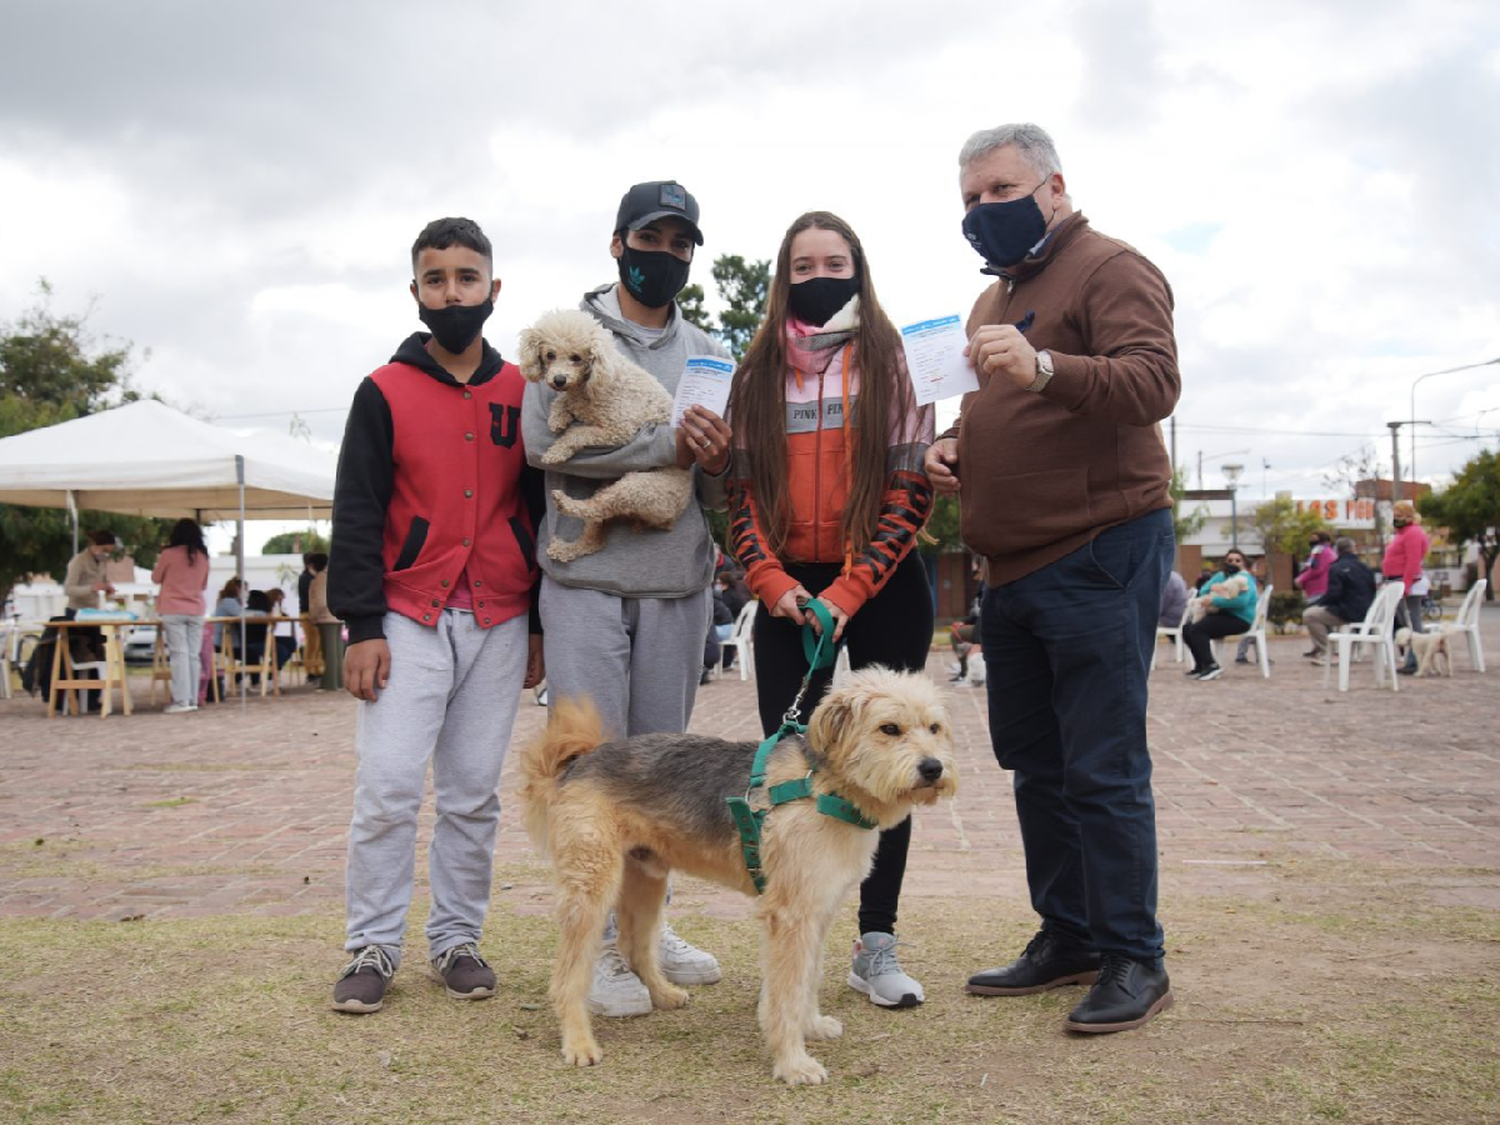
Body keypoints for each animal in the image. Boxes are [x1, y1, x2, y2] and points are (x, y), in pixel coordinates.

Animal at [516, 666, 960, 1086]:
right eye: (889, 728)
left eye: (934, 728)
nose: (933, 768)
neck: (823, 785)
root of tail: (578, 762)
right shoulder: (790, 915)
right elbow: (787, 991)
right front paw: (793, 1062)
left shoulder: (817, 911)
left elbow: (808, 977)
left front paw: (811, 1026)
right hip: (591, 888)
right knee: (569, 974)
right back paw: (578, 1041)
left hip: (647, 878)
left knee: (635, 945)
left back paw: (662, 994)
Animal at [519, 309, 693, 564]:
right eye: (550, 355)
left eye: (576, 357)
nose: (559, 380)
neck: (592, 381)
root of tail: (671, 518)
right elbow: (563, 402)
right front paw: (558, 417)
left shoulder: (619, 428)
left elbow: (578, 432)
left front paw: (556, 451)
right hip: (613, 488)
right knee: (595, 534)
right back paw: (565, 549)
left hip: (640, 488)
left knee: (597, 508)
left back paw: (565, 503)